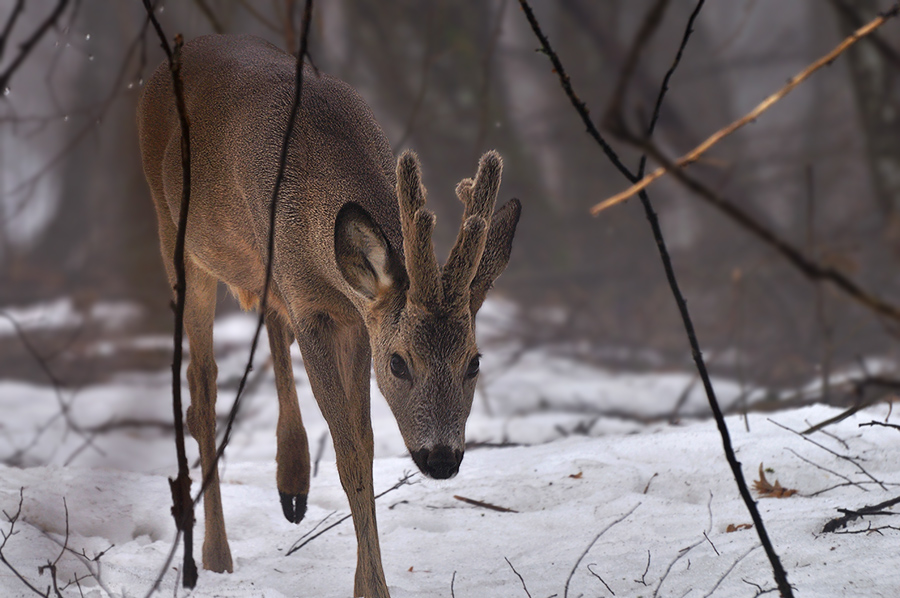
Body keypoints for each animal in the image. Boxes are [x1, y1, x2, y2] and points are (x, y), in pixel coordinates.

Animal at [138, 35, 524, 596]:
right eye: (399, 363)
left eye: (474, 362)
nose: (442, 459)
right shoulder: (313, 309)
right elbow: (348, 455)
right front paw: (374, 588)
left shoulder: (353, 316)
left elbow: (363, 442)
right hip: (177, 236)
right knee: (201, 384)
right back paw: (215, 555)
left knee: (266, 332)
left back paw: (292, 484)